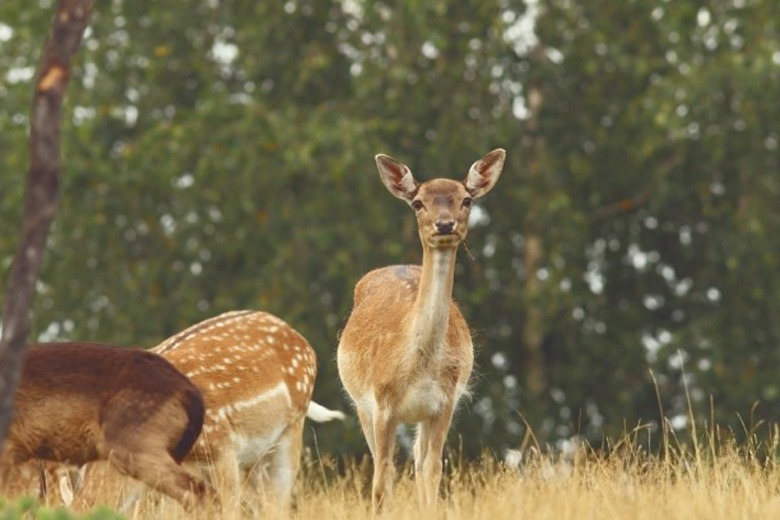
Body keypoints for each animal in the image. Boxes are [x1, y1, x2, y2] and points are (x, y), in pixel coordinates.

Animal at [336, 148, 506, 512]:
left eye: (467, 199)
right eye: (417, 202)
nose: (444, 224)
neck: (418, 366)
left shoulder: (443, 403)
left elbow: (432, 469)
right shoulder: (381, 402)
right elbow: (381, 479)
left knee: (418, 457)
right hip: (360, 405)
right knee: (383, 462)